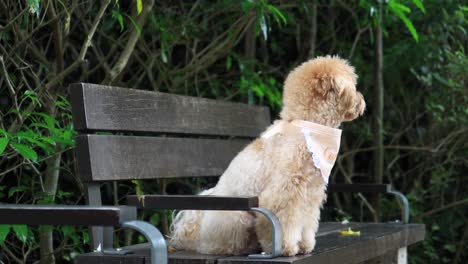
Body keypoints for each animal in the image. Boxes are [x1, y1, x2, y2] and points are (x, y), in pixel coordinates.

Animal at [170, 55, 368, 256]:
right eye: (354, 85)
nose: (362, 100)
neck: (305, 129)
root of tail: (194, 233)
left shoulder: (310, 195)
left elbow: (306, 223)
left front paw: (304, 245)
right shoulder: (282, 195)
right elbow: (283, 223)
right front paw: (286, 248)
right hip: (237, 218)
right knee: (221, 245)